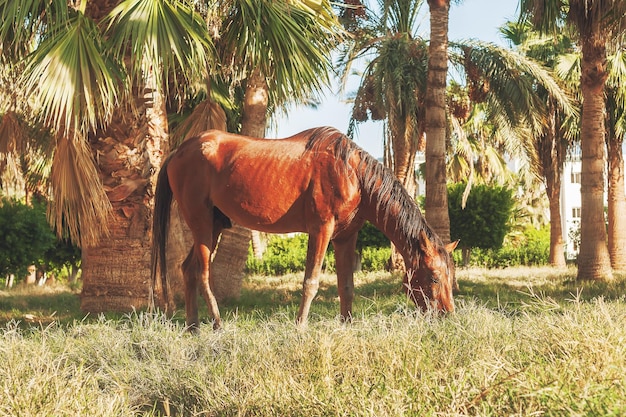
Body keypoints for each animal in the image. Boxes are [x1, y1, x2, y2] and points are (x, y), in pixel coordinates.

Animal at [151, 126, 454, 328]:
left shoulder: (346, 237)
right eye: (434, 278)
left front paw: (346, 324)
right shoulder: (321, 230)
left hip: (213, 225)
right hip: (201, 222)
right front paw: (300, 326)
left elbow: (346, 285)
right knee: (202, 274)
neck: (351, 172)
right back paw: (216, 324)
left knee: (188, 269)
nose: (447, 314)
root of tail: (179, 151)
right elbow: (311, 282)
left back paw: (193, 326)